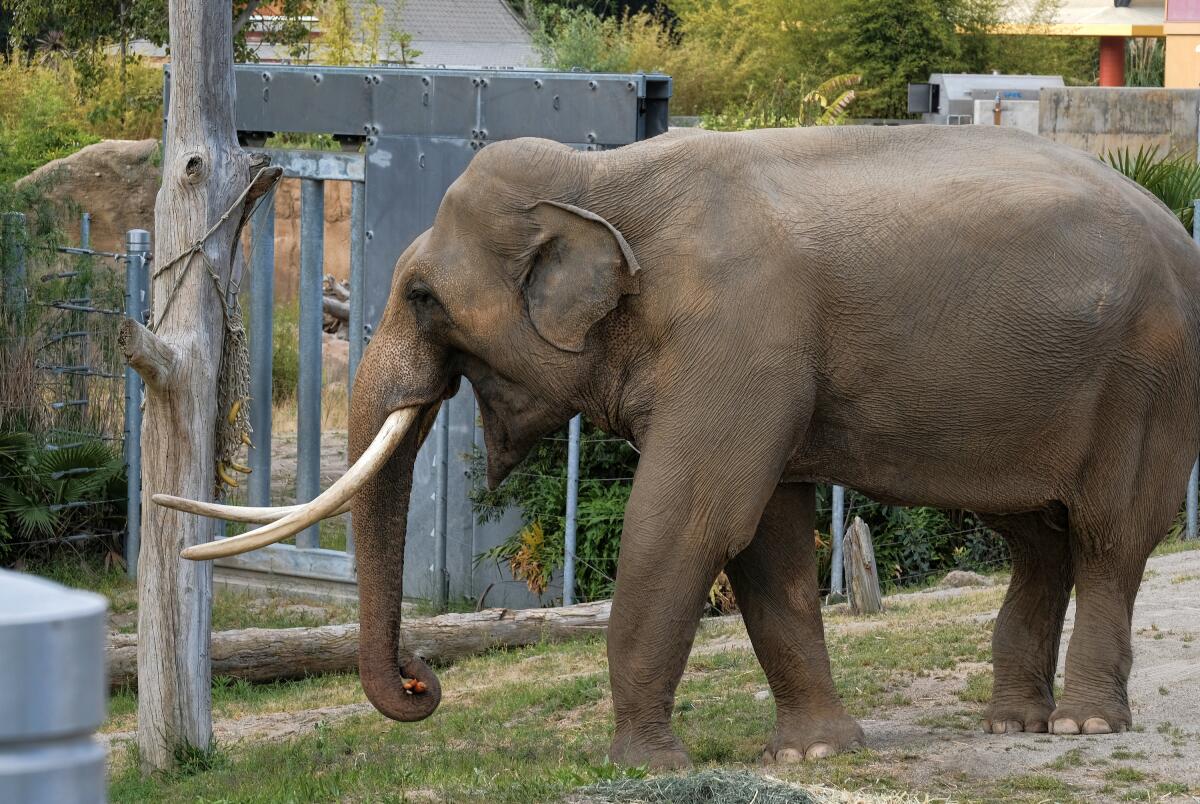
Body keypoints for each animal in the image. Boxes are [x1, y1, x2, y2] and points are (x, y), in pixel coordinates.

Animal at [159, 124, 1200, 770]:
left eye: (421, 296)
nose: (423, 678)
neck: (605, 183)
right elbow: (768, 541)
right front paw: (813, 753)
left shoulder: (741, 341)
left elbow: (692, 518)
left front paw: (642, 766)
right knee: (1037, 538)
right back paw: (1015, 721)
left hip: (1150, 381)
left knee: (1108, 539)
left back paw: (1085, 725)